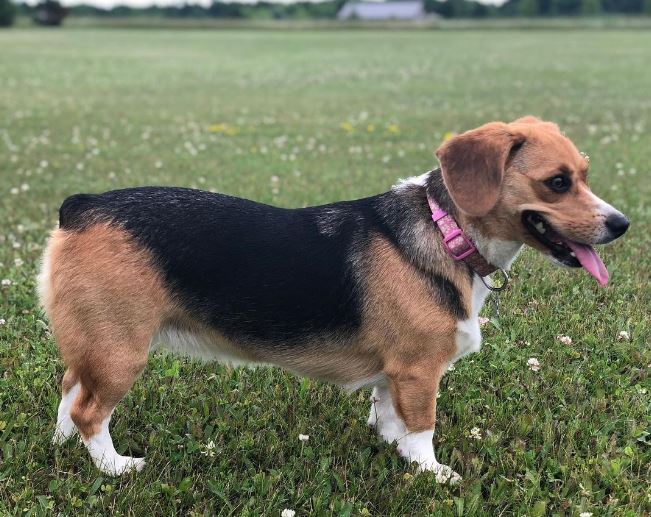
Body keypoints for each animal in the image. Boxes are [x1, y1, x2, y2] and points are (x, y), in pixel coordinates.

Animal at [38, 117, 628, 480]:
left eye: (584, 175)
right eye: (557, 182)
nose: (621, 224)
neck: (446, 231)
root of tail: (82, 205)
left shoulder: (395, 374)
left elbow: (390, 418)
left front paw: (396, 451)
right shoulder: (418, 372)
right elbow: (422, 427)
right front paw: (433, 473)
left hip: (94, 346)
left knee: (70, 391)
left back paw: (63, 447)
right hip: (120, 352)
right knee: (90, 410)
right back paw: (114, 466)